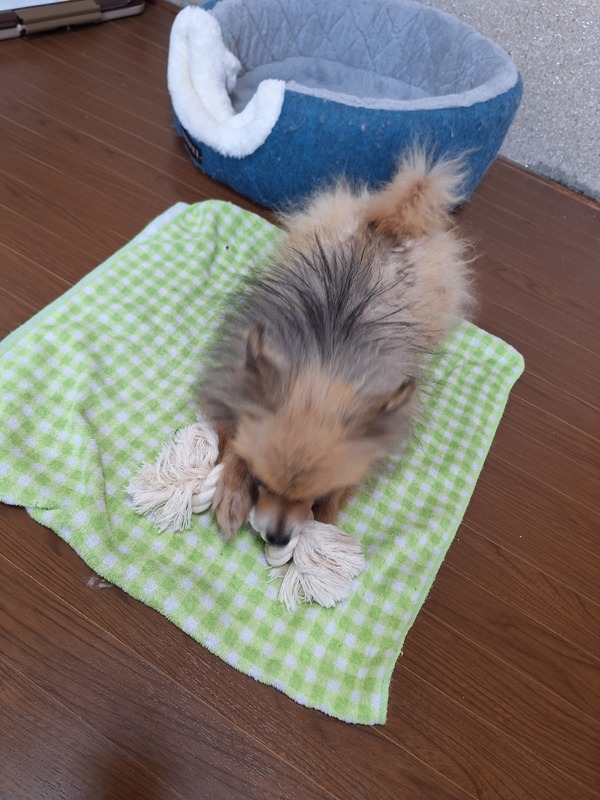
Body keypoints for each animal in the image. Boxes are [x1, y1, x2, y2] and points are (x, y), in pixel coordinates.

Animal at [198, 150, 473, 546]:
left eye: (318, 495)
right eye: (260, 482)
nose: (277, 538)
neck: (326, 356)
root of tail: (390, 225)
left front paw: (325, 525)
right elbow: (234, 440)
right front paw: (232, 493)